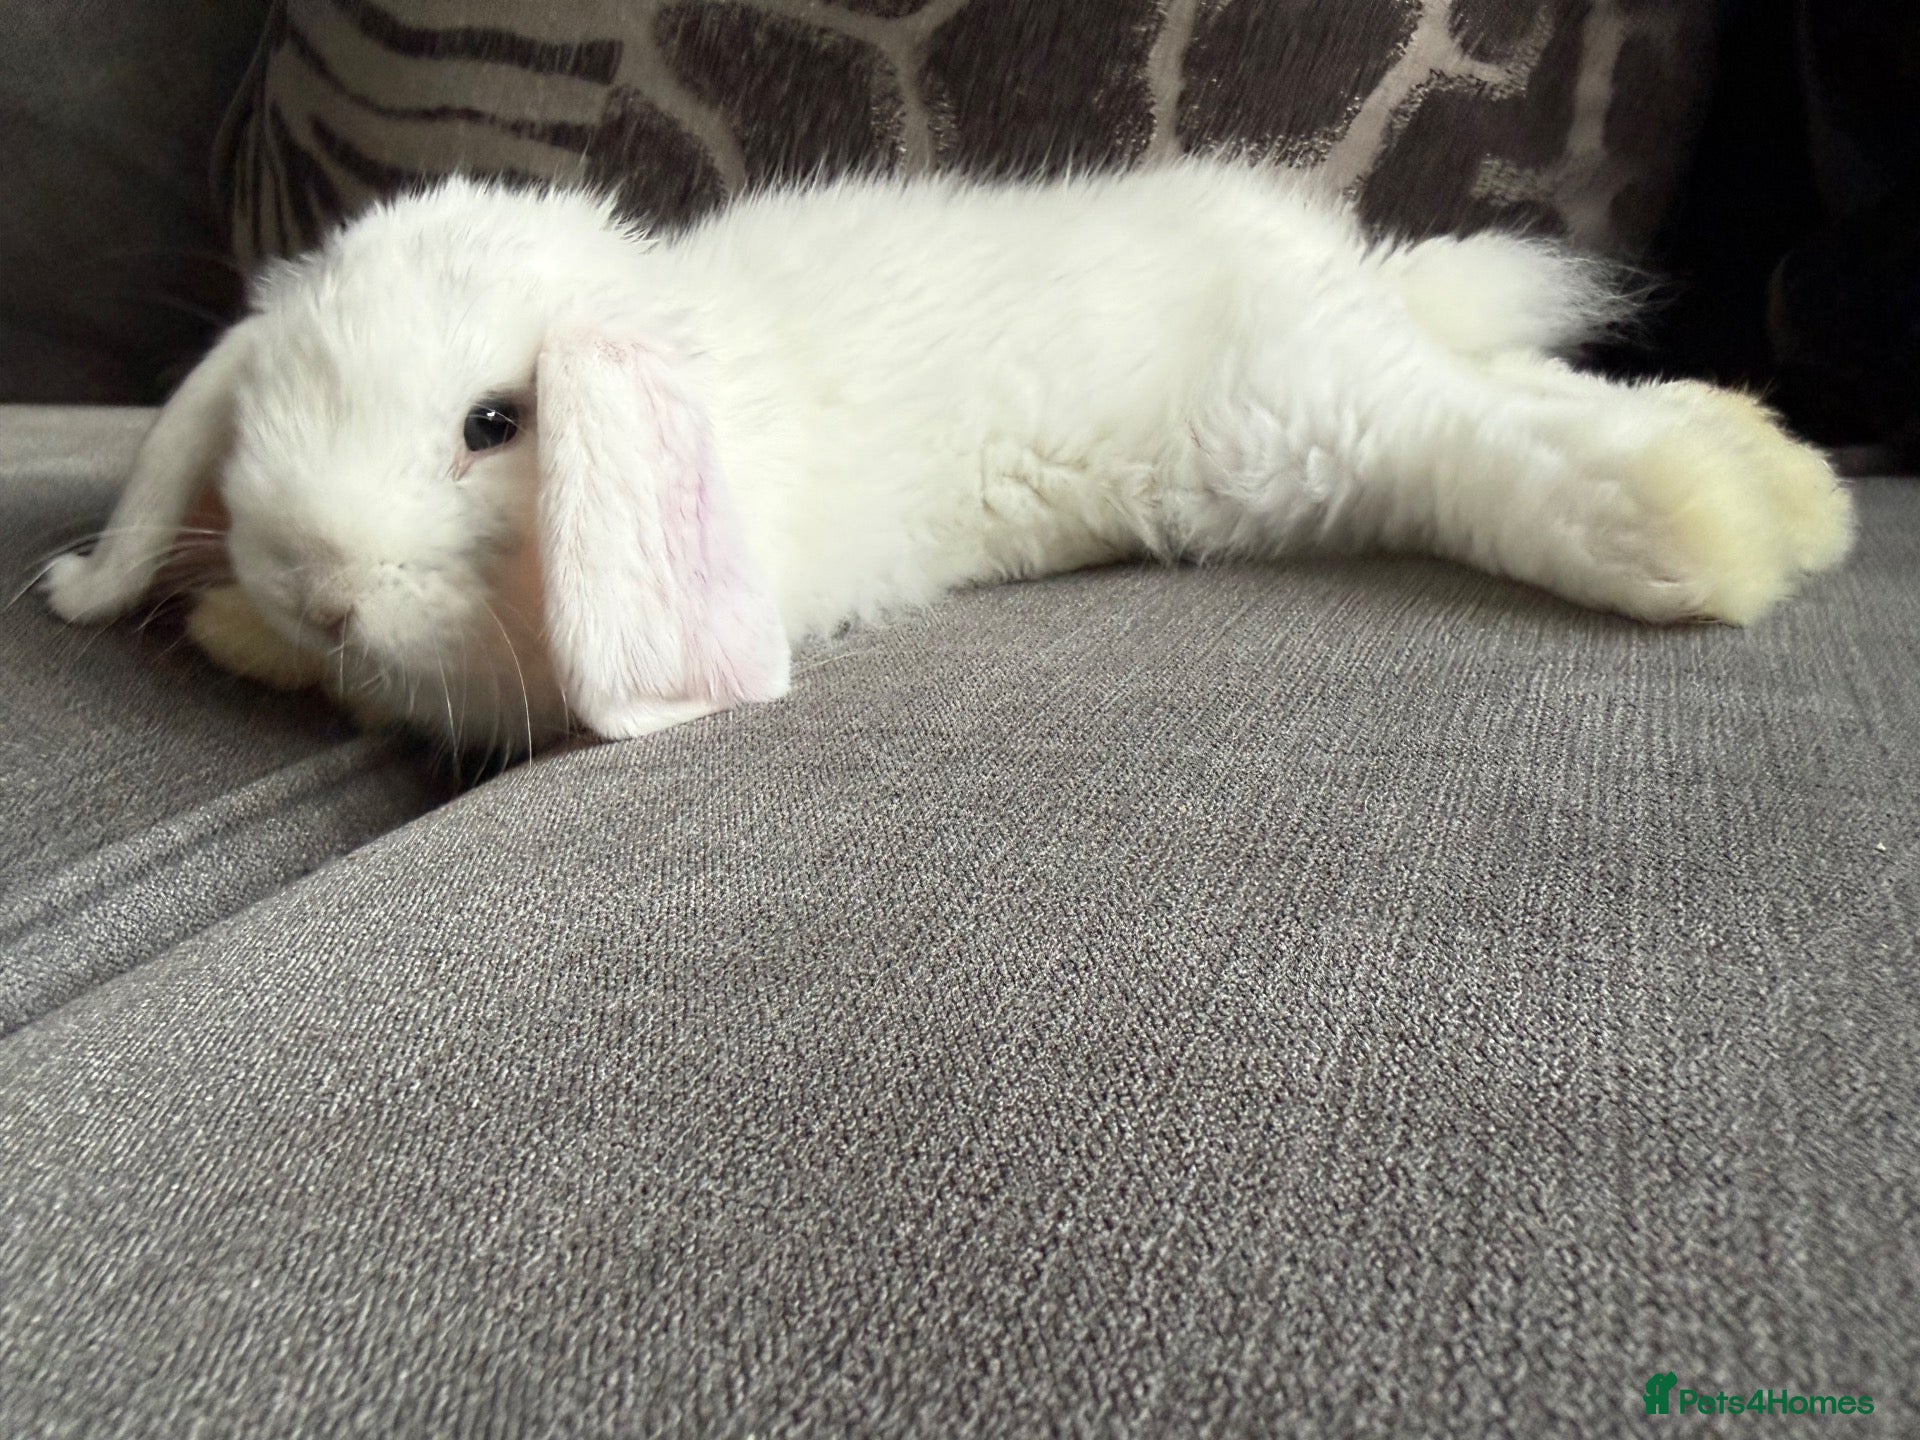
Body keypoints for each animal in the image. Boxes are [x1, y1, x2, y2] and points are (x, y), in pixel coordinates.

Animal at [41, 160, 1854, 755]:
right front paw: (235, 624)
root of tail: (1334, 267)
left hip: (1293, 429)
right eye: (265, 407)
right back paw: (1770, 482)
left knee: (1499, 441)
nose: (315, 578)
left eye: (495, 424)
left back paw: (1737, 516)